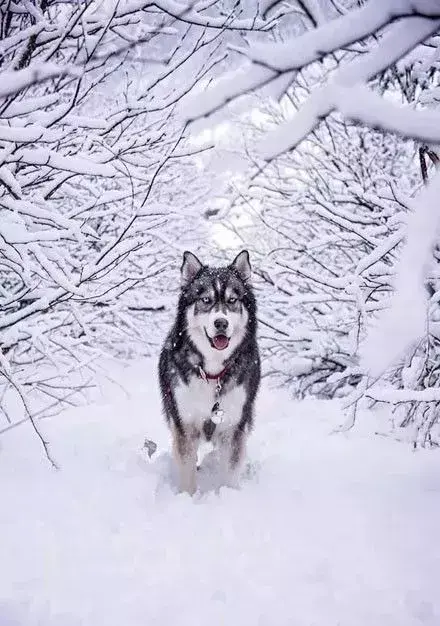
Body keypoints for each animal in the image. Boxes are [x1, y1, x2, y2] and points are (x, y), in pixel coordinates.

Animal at [159, 249, 260, 492]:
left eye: (232, 300)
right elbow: (187, 467)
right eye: (206, 300)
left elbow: (230, 471)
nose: (221, 323)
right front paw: (187, 497)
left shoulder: (234, 426)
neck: (214, 374)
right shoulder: (185, 423)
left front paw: (227, 494)